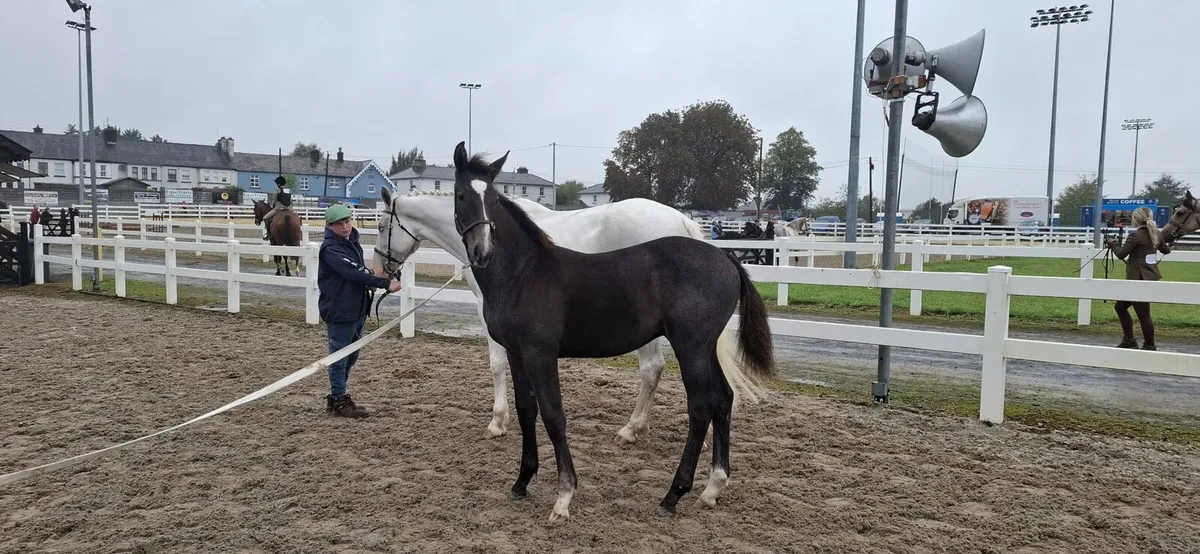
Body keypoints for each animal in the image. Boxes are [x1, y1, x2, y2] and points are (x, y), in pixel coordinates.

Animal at [373, 185, 708, 444]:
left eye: (379, 226)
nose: (379, 268)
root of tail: (680, 220)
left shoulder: (487, 313)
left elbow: (496, 365)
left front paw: (497, 422)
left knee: (652, 368)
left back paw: (631, 429)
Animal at [448, 141, 775, 522]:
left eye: (494, 200)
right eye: (460, 195)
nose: (482, 251)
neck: (522, 274)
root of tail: (727, 260)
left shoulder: (540, 354)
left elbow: (554, 416)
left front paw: (564, 497)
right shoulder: (517, 353)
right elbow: (526, 410)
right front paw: (522, 482)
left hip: (690, 346)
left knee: (701, 406)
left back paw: (673, 495)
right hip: (705, 348)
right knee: (723, 399)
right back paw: (712, 489)